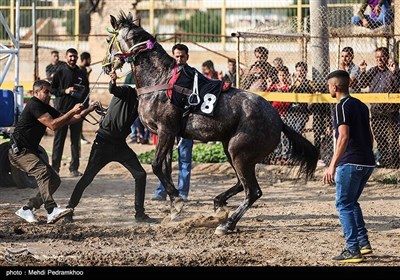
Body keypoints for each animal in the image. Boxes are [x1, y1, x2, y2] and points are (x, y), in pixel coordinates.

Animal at [103, 12, 318, 234]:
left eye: (108, 40)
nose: (106, 66)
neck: (160, 80)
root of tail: (277, 119)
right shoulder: (169, 135)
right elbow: (165, 168)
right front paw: (173, 205)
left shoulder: (165, 131)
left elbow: (156, 166)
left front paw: (177, 202)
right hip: (231, 150)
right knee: (241, 184)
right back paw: (219, 203)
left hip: (239, 153)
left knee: (253, 191)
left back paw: (227, 224)